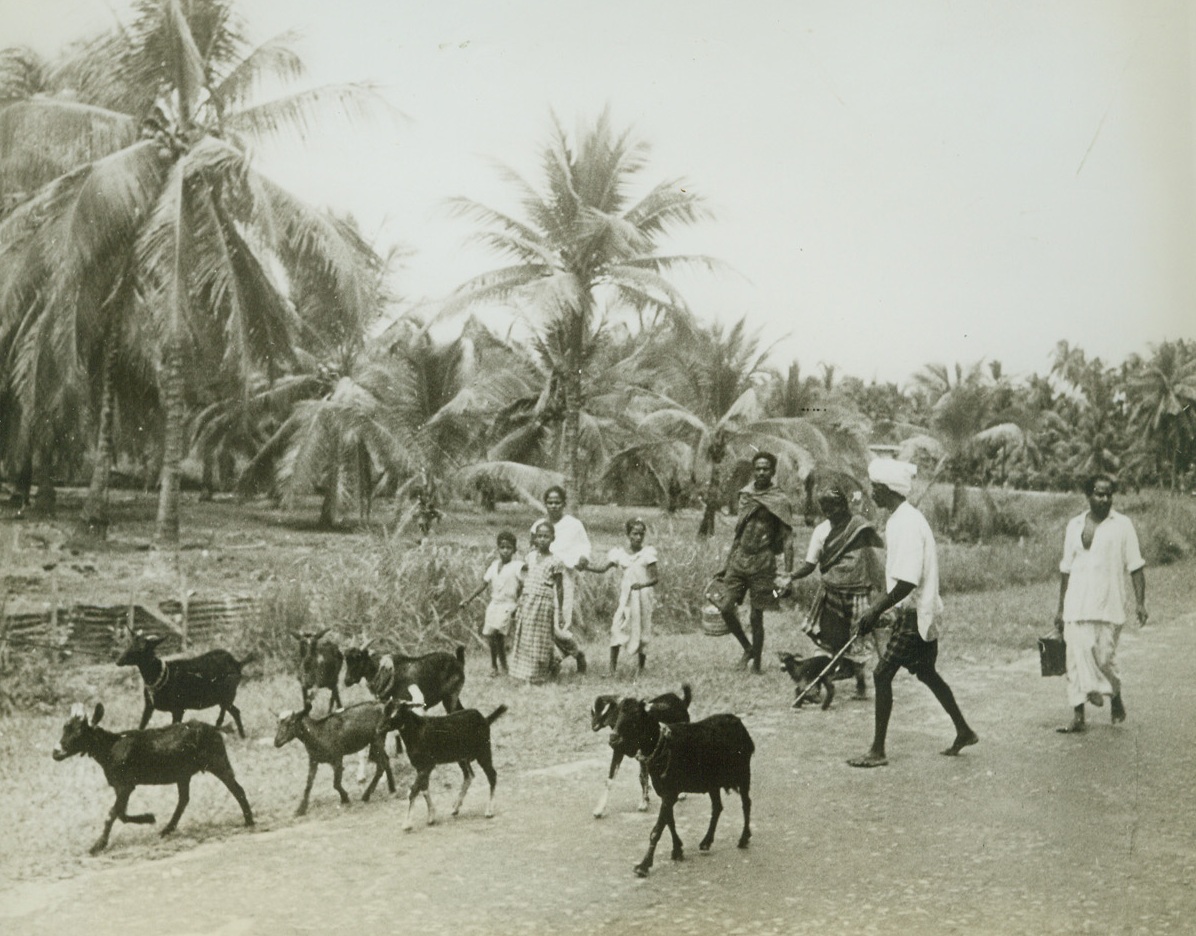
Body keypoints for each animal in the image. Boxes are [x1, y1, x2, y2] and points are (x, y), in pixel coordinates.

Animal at [52, 698, 253, 851]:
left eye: (79, 732)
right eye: (64, 728)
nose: (56, 752)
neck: (110, 747)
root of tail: (214, 729)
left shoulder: (126, 785)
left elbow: (112, 814)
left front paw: (97, 846)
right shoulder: (120, 785)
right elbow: (121, 814)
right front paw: (149, 817)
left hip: (217, 761)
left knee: (237, 789)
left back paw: (249, 821)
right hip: (183, 773)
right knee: (184, 799)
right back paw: (166, 830)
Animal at [116, 631, 252, 736]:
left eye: (143, 648)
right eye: (129, 644)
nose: (119, 661)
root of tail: (238, 663)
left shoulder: (178, 709)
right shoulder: (149, 706)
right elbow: (141, 727)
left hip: (227, 695)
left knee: (229, 713)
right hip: (223, 699)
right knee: (235, 711)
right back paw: (240, 736)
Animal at [385, 698, 507, 832]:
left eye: (399, 711)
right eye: (387, 710)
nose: (383, 727)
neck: (417, 731)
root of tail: (484, 719)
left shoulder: (427, 765)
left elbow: (414, 790)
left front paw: (407, 824)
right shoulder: (419, 766)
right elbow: (424, 788)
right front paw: (431, 817)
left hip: (483, 751)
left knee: (491, 775)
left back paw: (489, 810)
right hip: (462, 757)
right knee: (469, 775)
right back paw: (456, 808)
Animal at [590, 678, 693, 822]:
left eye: (635, 714)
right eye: (618, 712)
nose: (594, 726)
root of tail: (681, 701)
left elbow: (644, 776)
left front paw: (645, 802)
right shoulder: (620, 751)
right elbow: (613, 779)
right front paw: (599, 810)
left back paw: (682, 793)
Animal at [612, 702, 751, 879]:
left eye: (635, 718)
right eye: (617, 715)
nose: (613, 739)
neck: (662, 747)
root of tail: (739, 723)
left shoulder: (670, 793)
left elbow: (657, 829)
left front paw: (643, 866)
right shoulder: (665, 792)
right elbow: (669, 821)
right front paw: (677, 850)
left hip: (743, 773)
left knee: (746, 803)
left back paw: (743, 839)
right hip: (712, 783)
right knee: (717, 807)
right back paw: (706, 842)